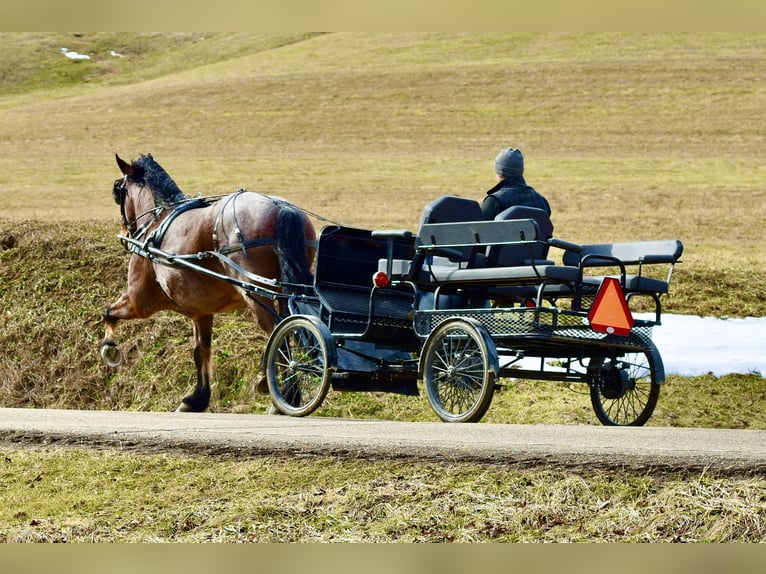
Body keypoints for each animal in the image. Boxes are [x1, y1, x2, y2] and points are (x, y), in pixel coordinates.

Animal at [99, 153, 317, 412]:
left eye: (117, 190)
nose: (125, 234)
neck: (158, 220)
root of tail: (280, 207)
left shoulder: (138, 302)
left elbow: (109, 313)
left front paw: (109, 349)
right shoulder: (201, 313)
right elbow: (200, 351)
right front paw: (197, 398)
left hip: (256, 294)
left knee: (279, 333)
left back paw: (283, 392)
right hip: (285, 294)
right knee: (291, 328)